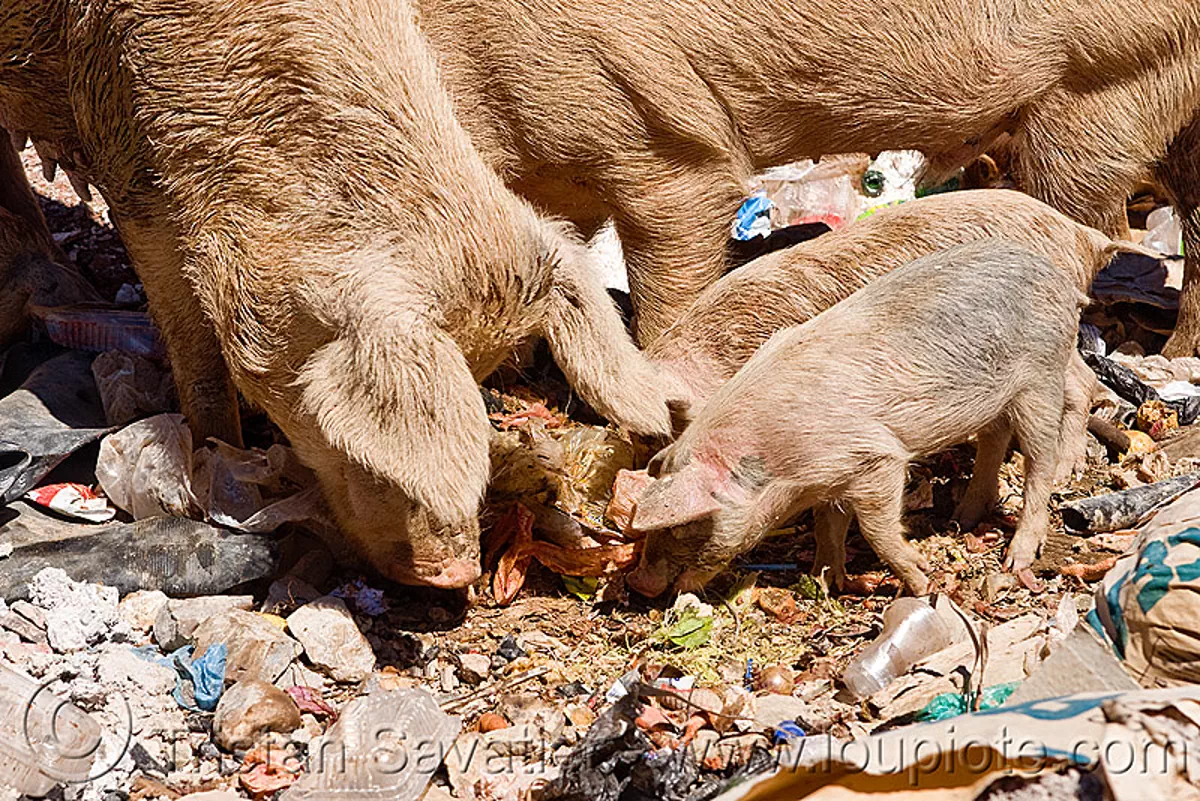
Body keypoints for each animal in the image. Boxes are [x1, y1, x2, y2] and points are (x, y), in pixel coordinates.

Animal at [0, 0, 681, 587]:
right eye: (347, 432)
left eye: (484, 373)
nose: (459, 572)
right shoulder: (127, 163)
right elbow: (191, 342)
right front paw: (215, 456)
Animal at [627, 239, 1088, 597]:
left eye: (681, 527)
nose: (639, 584)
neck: (779, 468)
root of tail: (1058, 277)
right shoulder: (829, 481)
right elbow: (827, 526)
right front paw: (824, 580)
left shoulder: (874, 458)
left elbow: (875, 529)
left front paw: (922, 581)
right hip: (996, 399)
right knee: (994, 439)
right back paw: (961, 519)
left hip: (1042, 375)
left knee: (1040, 463)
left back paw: (1015, 558)